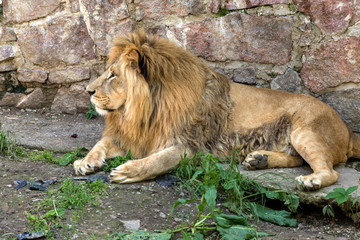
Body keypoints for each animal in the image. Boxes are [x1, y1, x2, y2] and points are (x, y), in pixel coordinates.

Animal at [74, 30, 360, 191]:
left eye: (113, 75)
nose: (87, 90)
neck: (141, 113)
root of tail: (349, 131)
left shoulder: (189, 147)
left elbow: (157, 161)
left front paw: (127, 171)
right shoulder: (131, 135)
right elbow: (100, 144)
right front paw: (85, 162)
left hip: (305, 131)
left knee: (329, 170)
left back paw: (310, 181)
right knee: (298, 159)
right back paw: (259, 160)